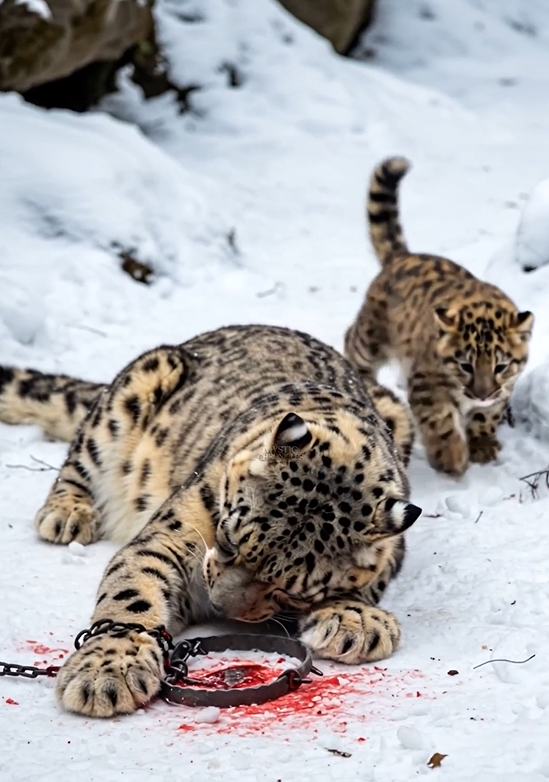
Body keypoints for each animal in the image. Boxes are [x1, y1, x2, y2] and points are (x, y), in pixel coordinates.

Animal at [0, 324, 422, 718]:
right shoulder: (168, 537)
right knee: (80, 460)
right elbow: (132, 587)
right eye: (229, 539)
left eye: (293, 589)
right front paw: (107, 669)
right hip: (134, 390)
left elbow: (375, 576)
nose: (219, 606)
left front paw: (355, 620)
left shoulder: (395, 547)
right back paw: (68, 513)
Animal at [344, 156, 534, 476]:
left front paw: (483, 446)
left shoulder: (503, 389)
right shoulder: (426, 383)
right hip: (371, 338)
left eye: (501, 366)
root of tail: (403, 256)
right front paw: (451, 457)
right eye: (465, 365)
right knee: (351, 341)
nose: (482, 394)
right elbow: (440, 420)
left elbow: (486, 416)